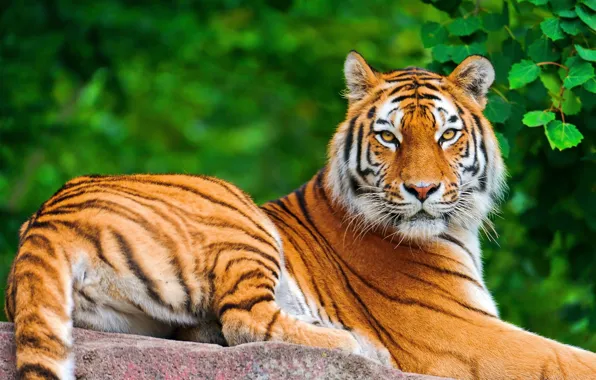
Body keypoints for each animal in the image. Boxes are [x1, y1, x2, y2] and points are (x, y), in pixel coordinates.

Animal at [5, 52, 596, 378]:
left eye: (447, 135)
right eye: (389, 136)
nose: (423, 190)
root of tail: (46, 219)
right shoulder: (459, 331)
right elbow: (567, 359)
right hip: (237, 214)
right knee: (244, 320)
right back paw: (357, 348)